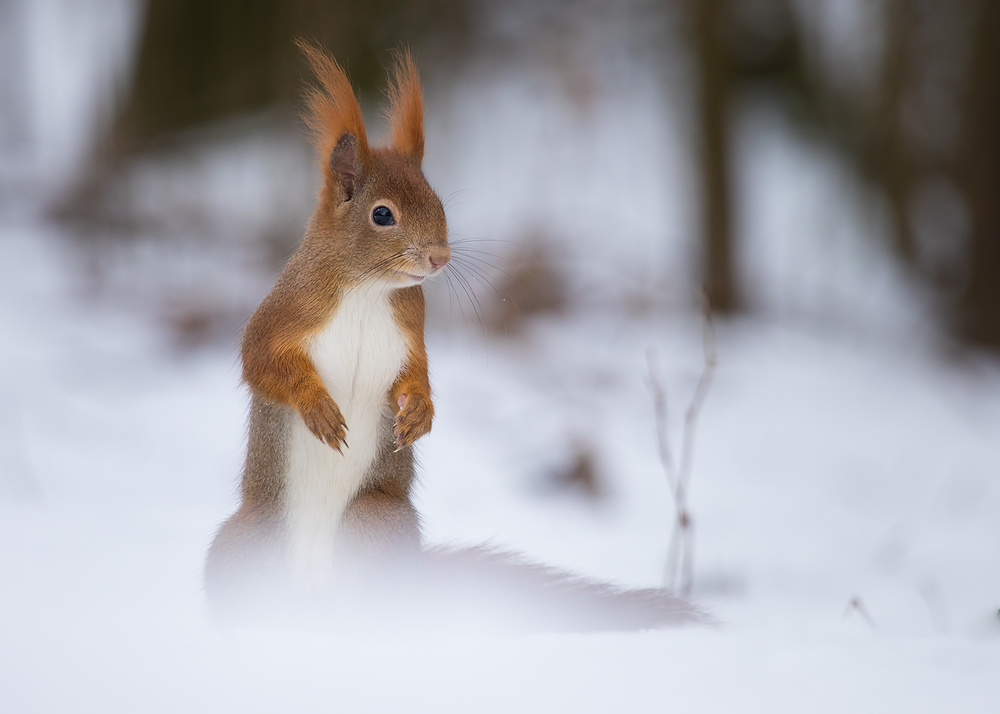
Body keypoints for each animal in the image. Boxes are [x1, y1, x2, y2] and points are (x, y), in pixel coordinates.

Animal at [205, 44, 704, 628]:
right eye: (382, 215)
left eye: (438, 200)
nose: (440, 258)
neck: (369, 289)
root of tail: (310, 600)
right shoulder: (285, 311)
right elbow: (259, 360)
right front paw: (318, 407)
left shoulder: (411, 330)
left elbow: (415, 372)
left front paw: (420, 413)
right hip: (247, 542)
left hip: (377, 526)